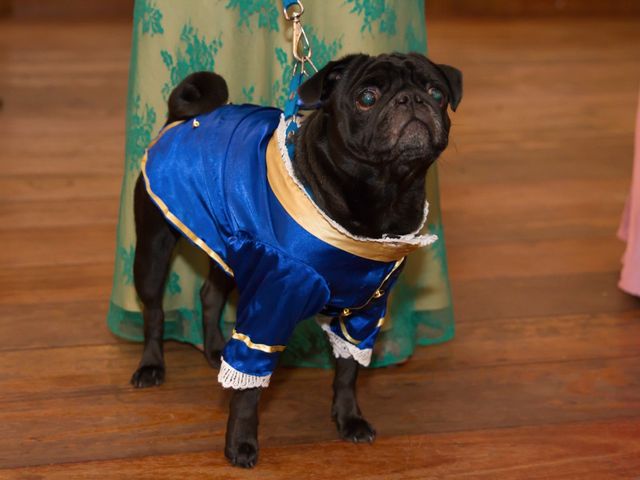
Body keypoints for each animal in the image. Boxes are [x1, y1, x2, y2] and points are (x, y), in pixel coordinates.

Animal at [129, 52, 460, 468]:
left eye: (436, 93)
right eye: (367, 98)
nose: (412, 100)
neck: (385, 195)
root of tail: (180, 116)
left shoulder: (365, 313)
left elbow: (348, 370)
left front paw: (349, 419)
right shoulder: (271, 305)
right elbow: (249, 389)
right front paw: (240, 444)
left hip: (227, 248)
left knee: (210, 295)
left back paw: (214, 349)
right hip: (154, 248)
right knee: (154, 311)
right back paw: (151, 365)